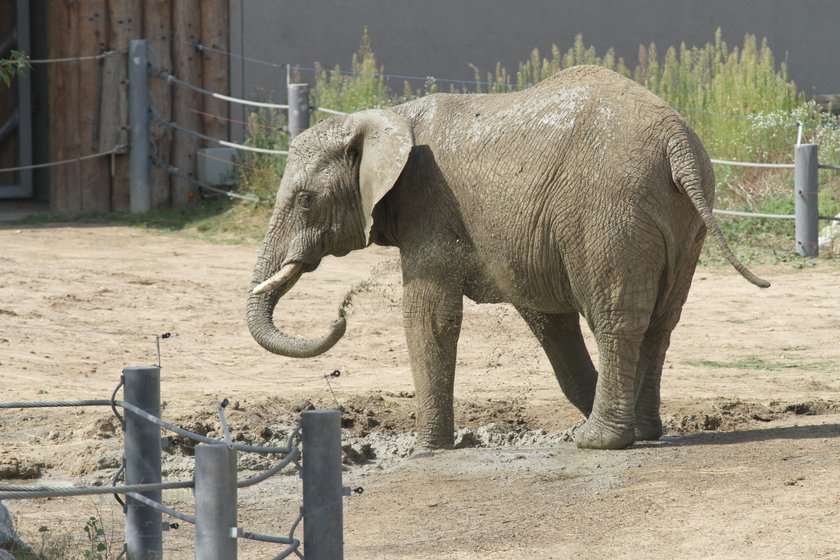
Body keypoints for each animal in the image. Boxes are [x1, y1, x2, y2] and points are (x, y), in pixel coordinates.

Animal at [244, 65, 768, 450]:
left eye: (305, 201)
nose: (341, 313)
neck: (386, 116)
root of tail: (677, 144)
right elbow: (545, 317)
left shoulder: (429, 206)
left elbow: (430, 317)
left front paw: (427, 450)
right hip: (681, 219)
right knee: (660, 321)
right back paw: (642, 433)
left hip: (609, 212)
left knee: (616, 317)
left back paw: (599, 441)